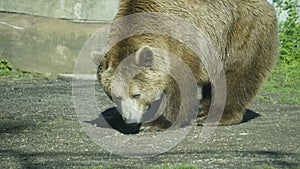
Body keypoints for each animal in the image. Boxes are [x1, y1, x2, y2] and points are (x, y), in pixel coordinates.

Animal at [96, 0, 278, 129]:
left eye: (136, 94)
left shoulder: (184, 42)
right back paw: (203, 109)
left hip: (241, 32)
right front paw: (113, 118)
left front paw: (158, 122)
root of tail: (268, 5)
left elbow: (179, 83)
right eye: (115, 96)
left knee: (236, 75)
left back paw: (214, 116)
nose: (130, 120)